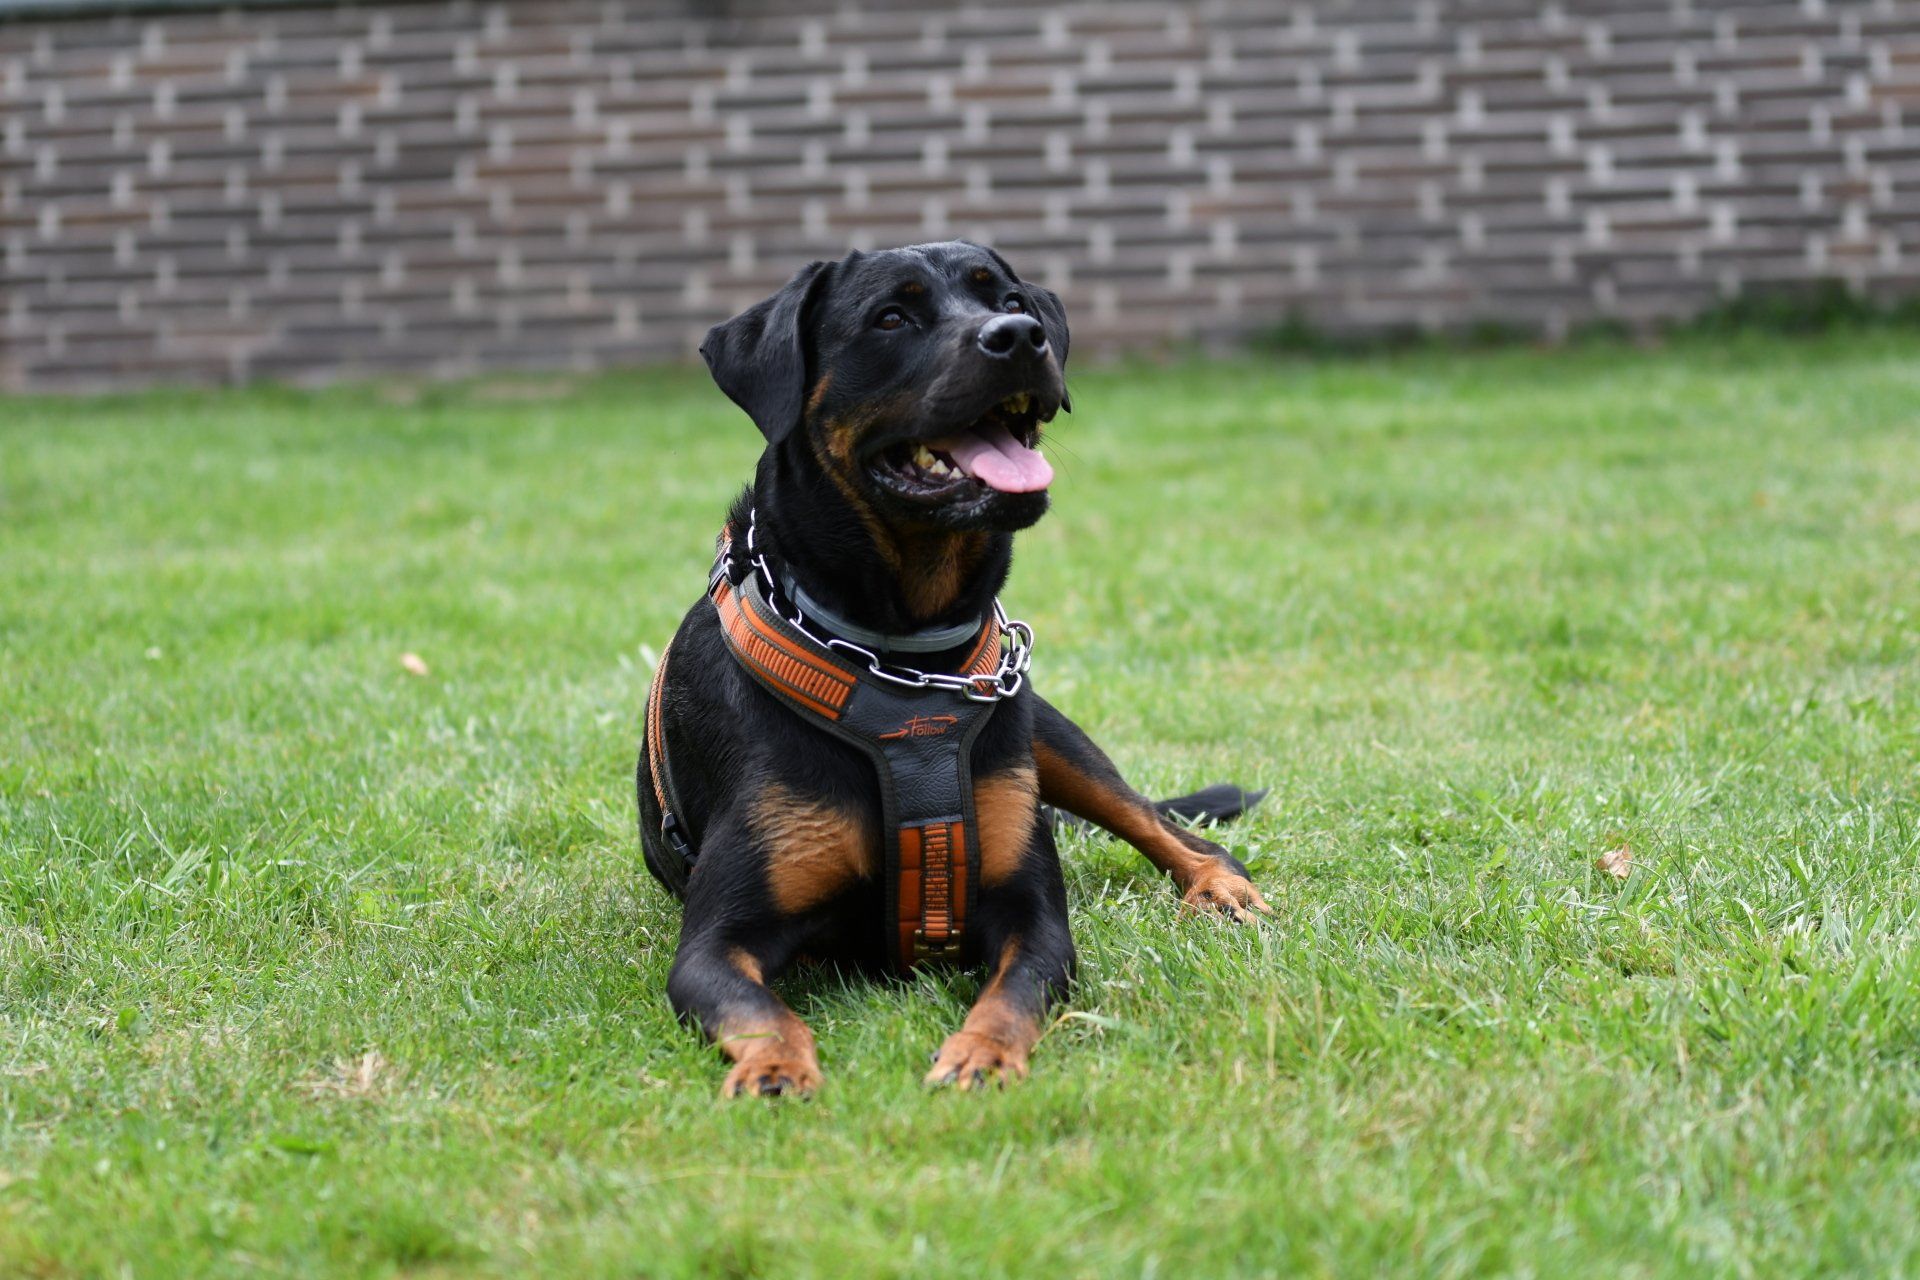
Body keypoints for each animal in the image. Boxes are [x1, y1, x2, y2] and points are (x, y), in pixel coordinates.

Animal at [639, 241, 1270, 1099]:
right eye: (890, 318)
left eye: (1008, 299)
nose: (1020, 336)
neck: (901, 653)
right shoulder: (715, 938)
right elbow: (756, 1007)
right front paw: (775, 1065)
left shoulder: (1032, 915)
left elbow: (1017, 989)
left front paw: (982, 1053)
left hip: (1045, 732)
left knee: (1161, 822)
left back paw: (1221, 887)